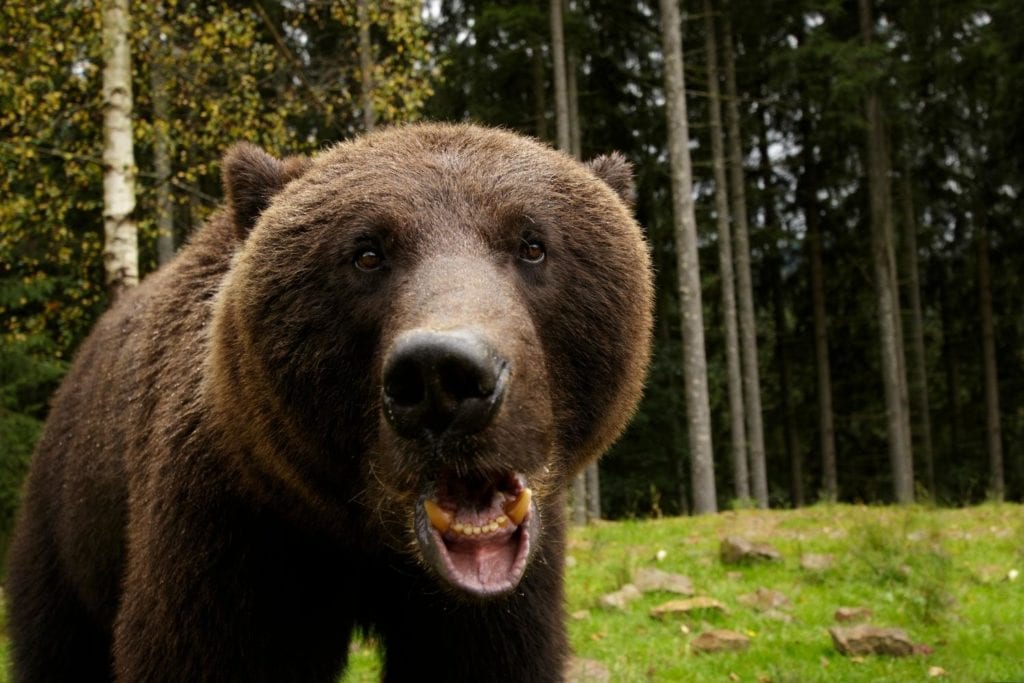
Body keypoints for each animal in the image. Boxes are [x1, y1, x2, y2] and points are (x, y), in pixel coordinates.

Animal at [6, 123, 653, 682]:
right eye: (366, 252)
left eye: (532, 244)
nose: (443, 377)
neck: (370, 539)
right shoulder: (232, 538)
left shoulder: (501, 603)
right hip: (66, 528)